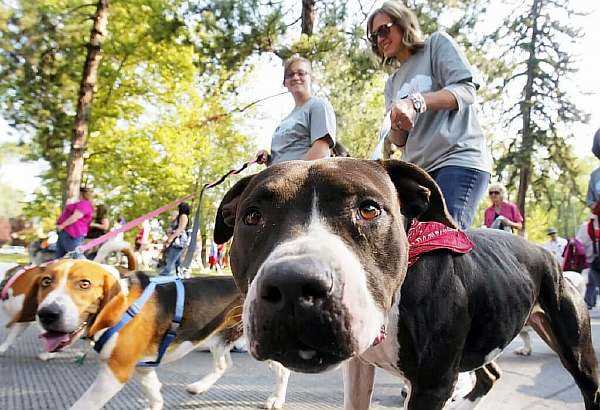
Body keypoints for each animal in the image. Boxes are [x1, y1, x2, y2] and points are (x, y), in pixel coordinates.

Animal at [213, 158, 596, 410]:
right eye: (252, 216)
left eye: (369, 210)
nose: (293, 285)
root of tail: (545, 253)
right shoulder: (359, 369)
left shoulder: (432, 385)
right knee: (490, 375)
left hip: (577, 351)